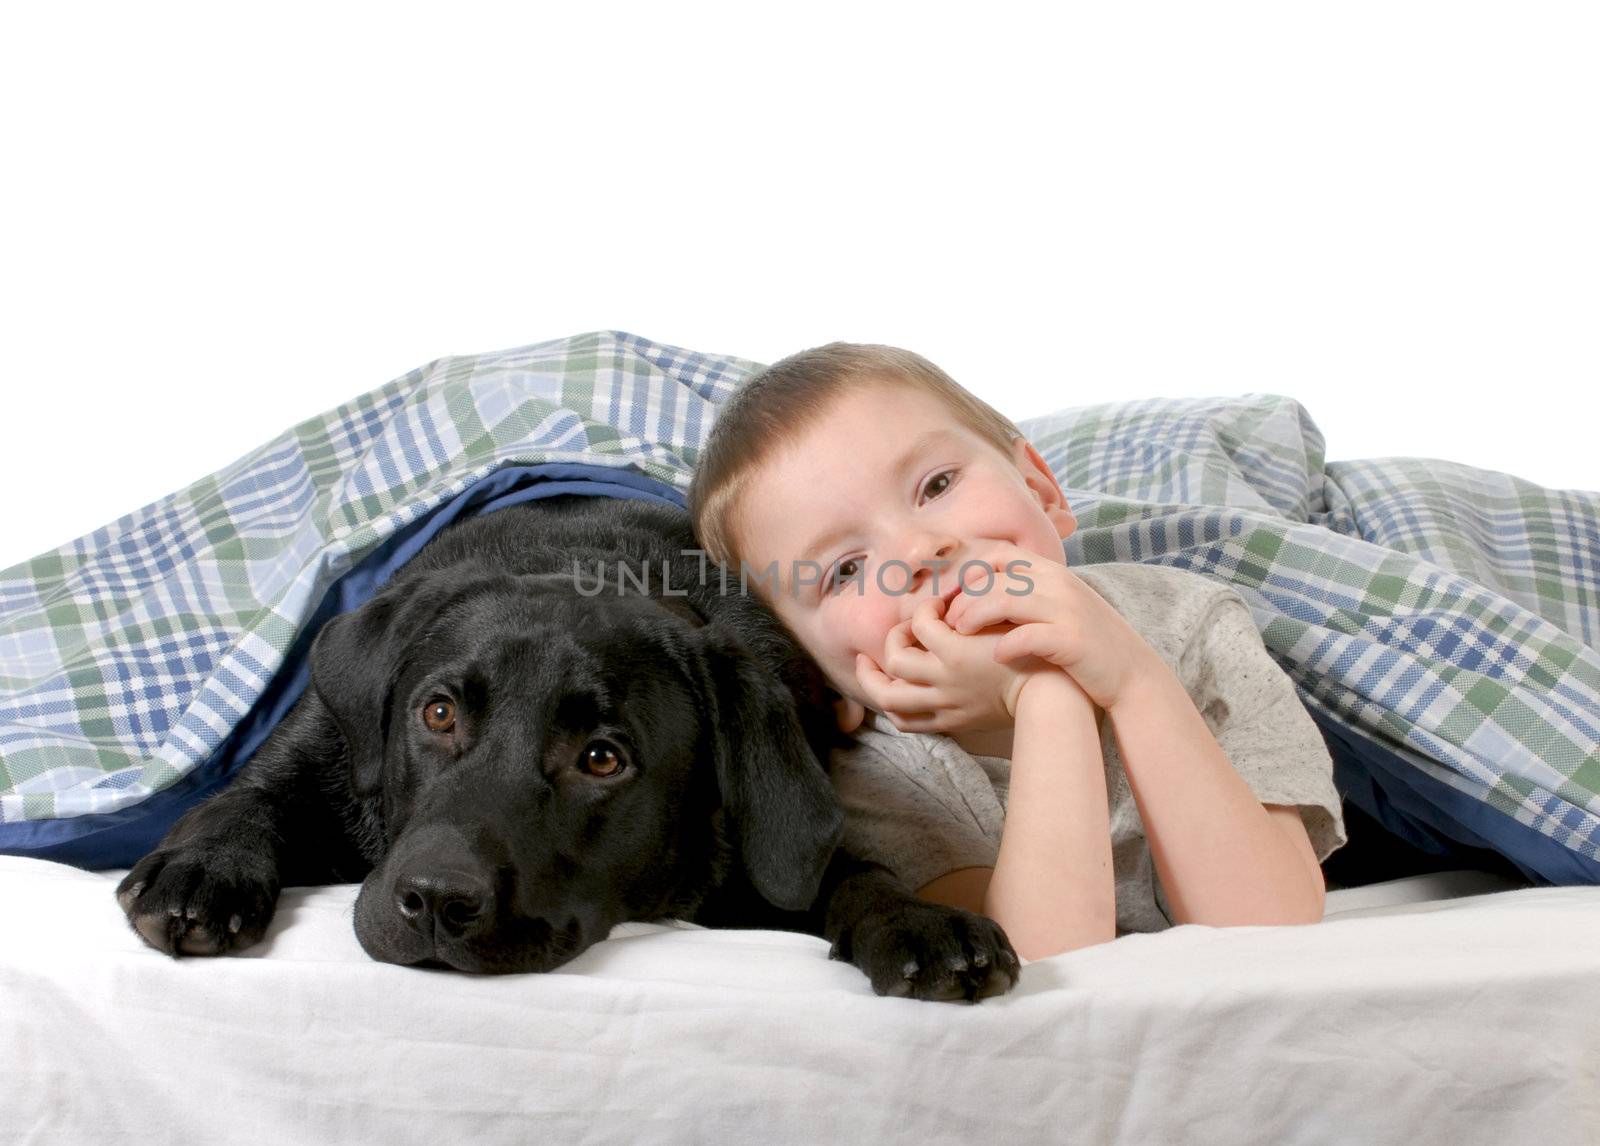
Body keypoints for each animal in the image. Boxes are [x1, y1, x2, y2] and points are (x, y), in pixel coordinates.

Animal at [112, 496, 1017, 998]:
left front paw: (917, 919)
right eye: (437, 714)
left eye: (602, 760)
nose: (436, 901)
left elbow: (850, 871)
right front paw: (204, 871)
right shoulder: (319, 749)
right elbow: (243, 801)